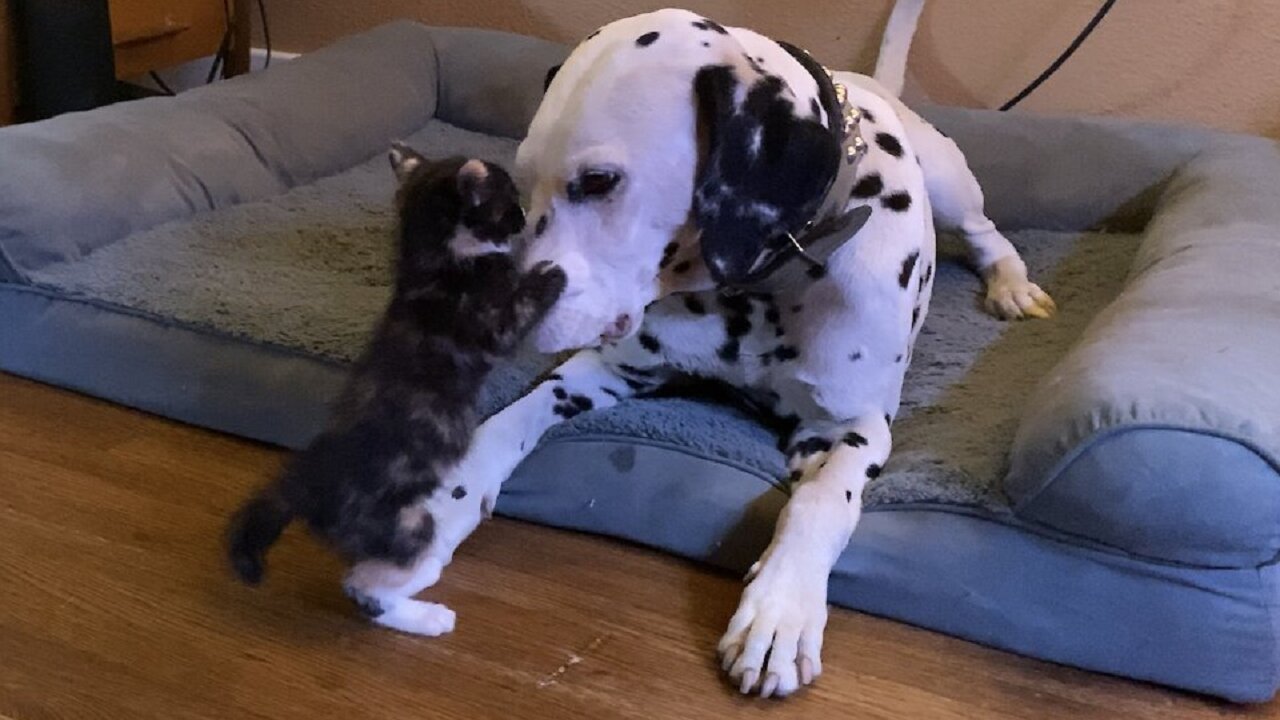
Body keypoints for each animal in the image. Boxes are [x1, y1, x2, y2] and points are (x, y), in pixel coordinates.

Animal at [226, 146, 565, 632]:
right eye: (508, 201)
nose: (524, 218)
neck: (433, 260)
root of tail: (308, 482)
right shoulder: (491, 325)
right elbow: (521, 304)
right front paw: (549, 273)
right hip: (411, 528)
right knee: (365, 585)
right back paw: (429, 618)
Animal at [391, 0, 1059, 696]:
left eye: (599, 181)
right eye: (521, 186)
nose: (495, 312)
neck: (759, 292)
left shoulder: (855, 427)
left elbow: (823, 501)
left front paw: (781, 610)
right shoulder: (606, 369)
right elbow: (505, 421)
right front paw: (441, 500)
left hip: (953, 187)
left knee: (987, 233)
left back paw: (1012, 286)